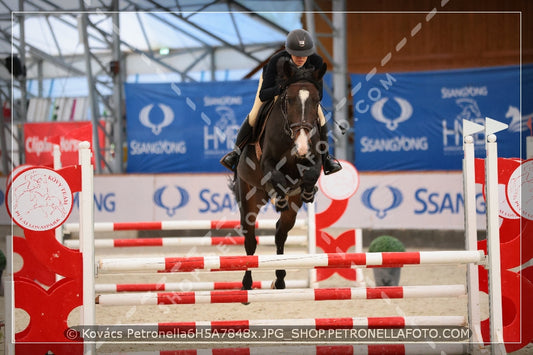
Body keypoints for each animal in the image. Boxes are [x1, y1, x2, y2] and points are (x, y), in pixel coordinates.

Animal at [229, 59, 324, 292]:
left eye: (316, 100)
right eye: (288, 99)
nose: (302, 146)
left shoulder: (315, 159)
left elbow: (312, 172)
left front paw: (309, 191)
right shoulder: (267, 163)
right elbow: (277, 176)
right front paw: (279, 196)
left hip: (292, 209)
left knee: (281, 233)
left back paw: (280, 280)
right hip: (249, 198)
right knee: (250, 240)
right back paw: (247, 283)